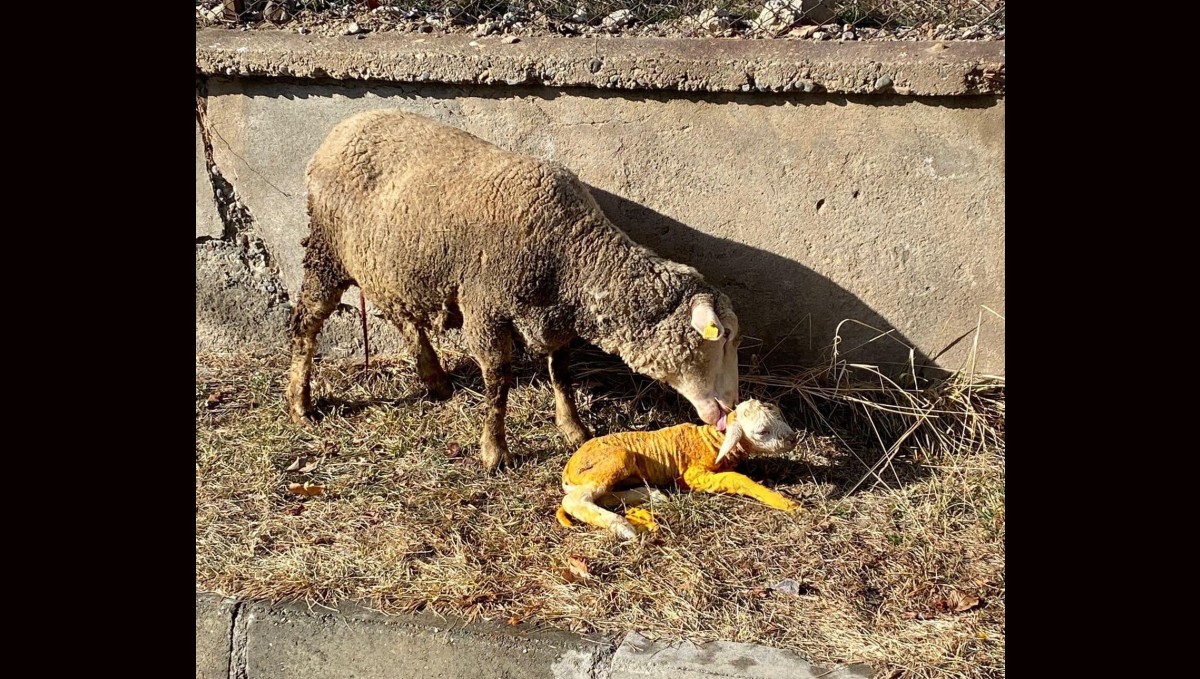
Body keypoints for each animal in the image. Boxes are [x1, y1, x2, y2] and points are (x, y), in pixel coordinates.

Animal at [288, 110, 739, 472]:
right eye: (722, 338)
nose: (732, 407)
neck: (572, 251)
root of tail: (343, 128)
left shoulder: (553, 319)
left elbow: (562, 373)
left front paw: (574, 429)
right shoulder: (485, 309)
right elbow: (498, 381)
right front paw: (495, 451)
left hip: (391, 264)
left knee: (402, 317)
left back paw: (436, 381)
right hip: (327, 252)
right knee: (306, 322)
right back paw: (300, 402)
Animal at [554, 403, 801, 539]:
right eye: (762, 431)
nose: (793, 439)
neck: (713, 440)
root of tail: (569, 468)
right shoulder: (693, 475)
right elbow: (735, 478)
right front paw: (787, 503)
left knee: (601, 495)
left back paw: (651, 495)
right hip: (614, 459)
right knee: (574, 501)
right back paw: (623, 526)